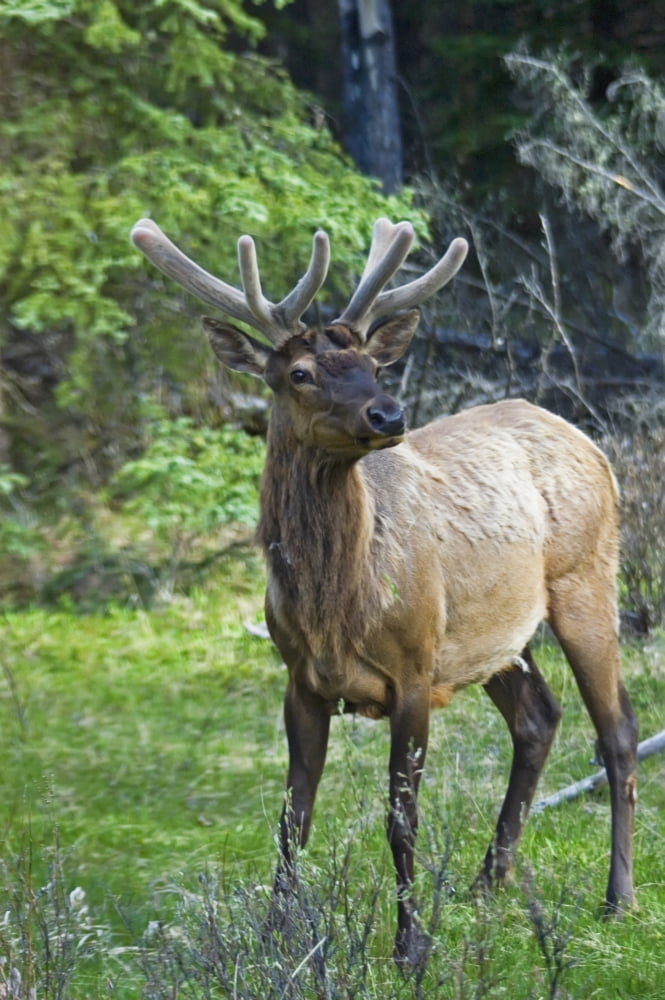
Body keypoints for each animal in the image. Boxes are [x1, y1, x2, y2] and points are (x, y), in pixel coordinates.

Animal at [130, 215, 638, 966]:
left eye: (375, 366)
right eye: (300, 373)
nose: (388, 414)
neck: (334, 607)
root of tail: (589, 440)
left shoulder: (413, 668)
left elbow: (402, 817)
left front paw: (409, 947)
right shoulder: (300, 679)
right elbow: (292, 816)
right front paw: (276, 936)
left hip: (585, 579)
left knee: (617, 731)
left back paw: (617, 899)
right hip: (494, 636)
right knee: (538, 716)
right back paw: (486, 882)